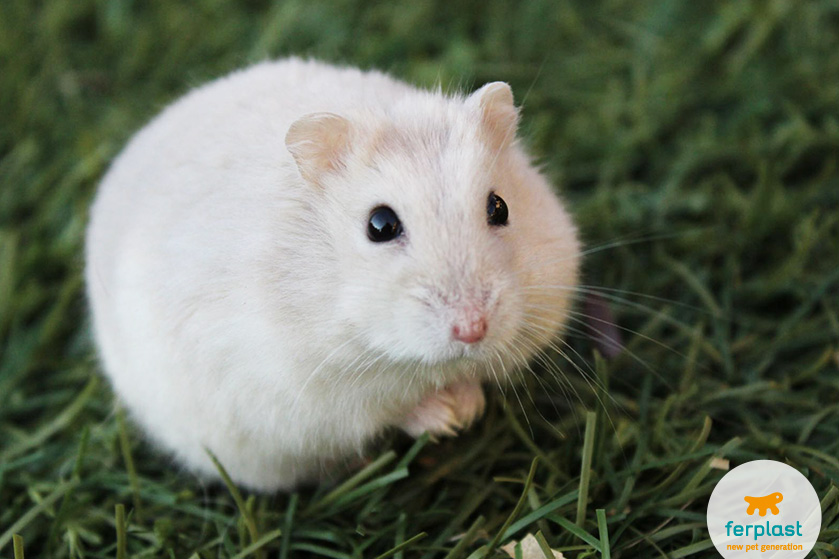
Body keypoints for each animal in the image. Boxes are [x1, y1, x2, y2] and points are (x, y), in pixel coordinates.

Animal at [87, 57, 584, 490]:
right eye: (380, 225)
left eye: (499, 207)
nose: (472, 330)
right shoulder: (310, 400)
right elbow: (385, 411)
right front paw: (448, 421)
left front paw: (468, 408)